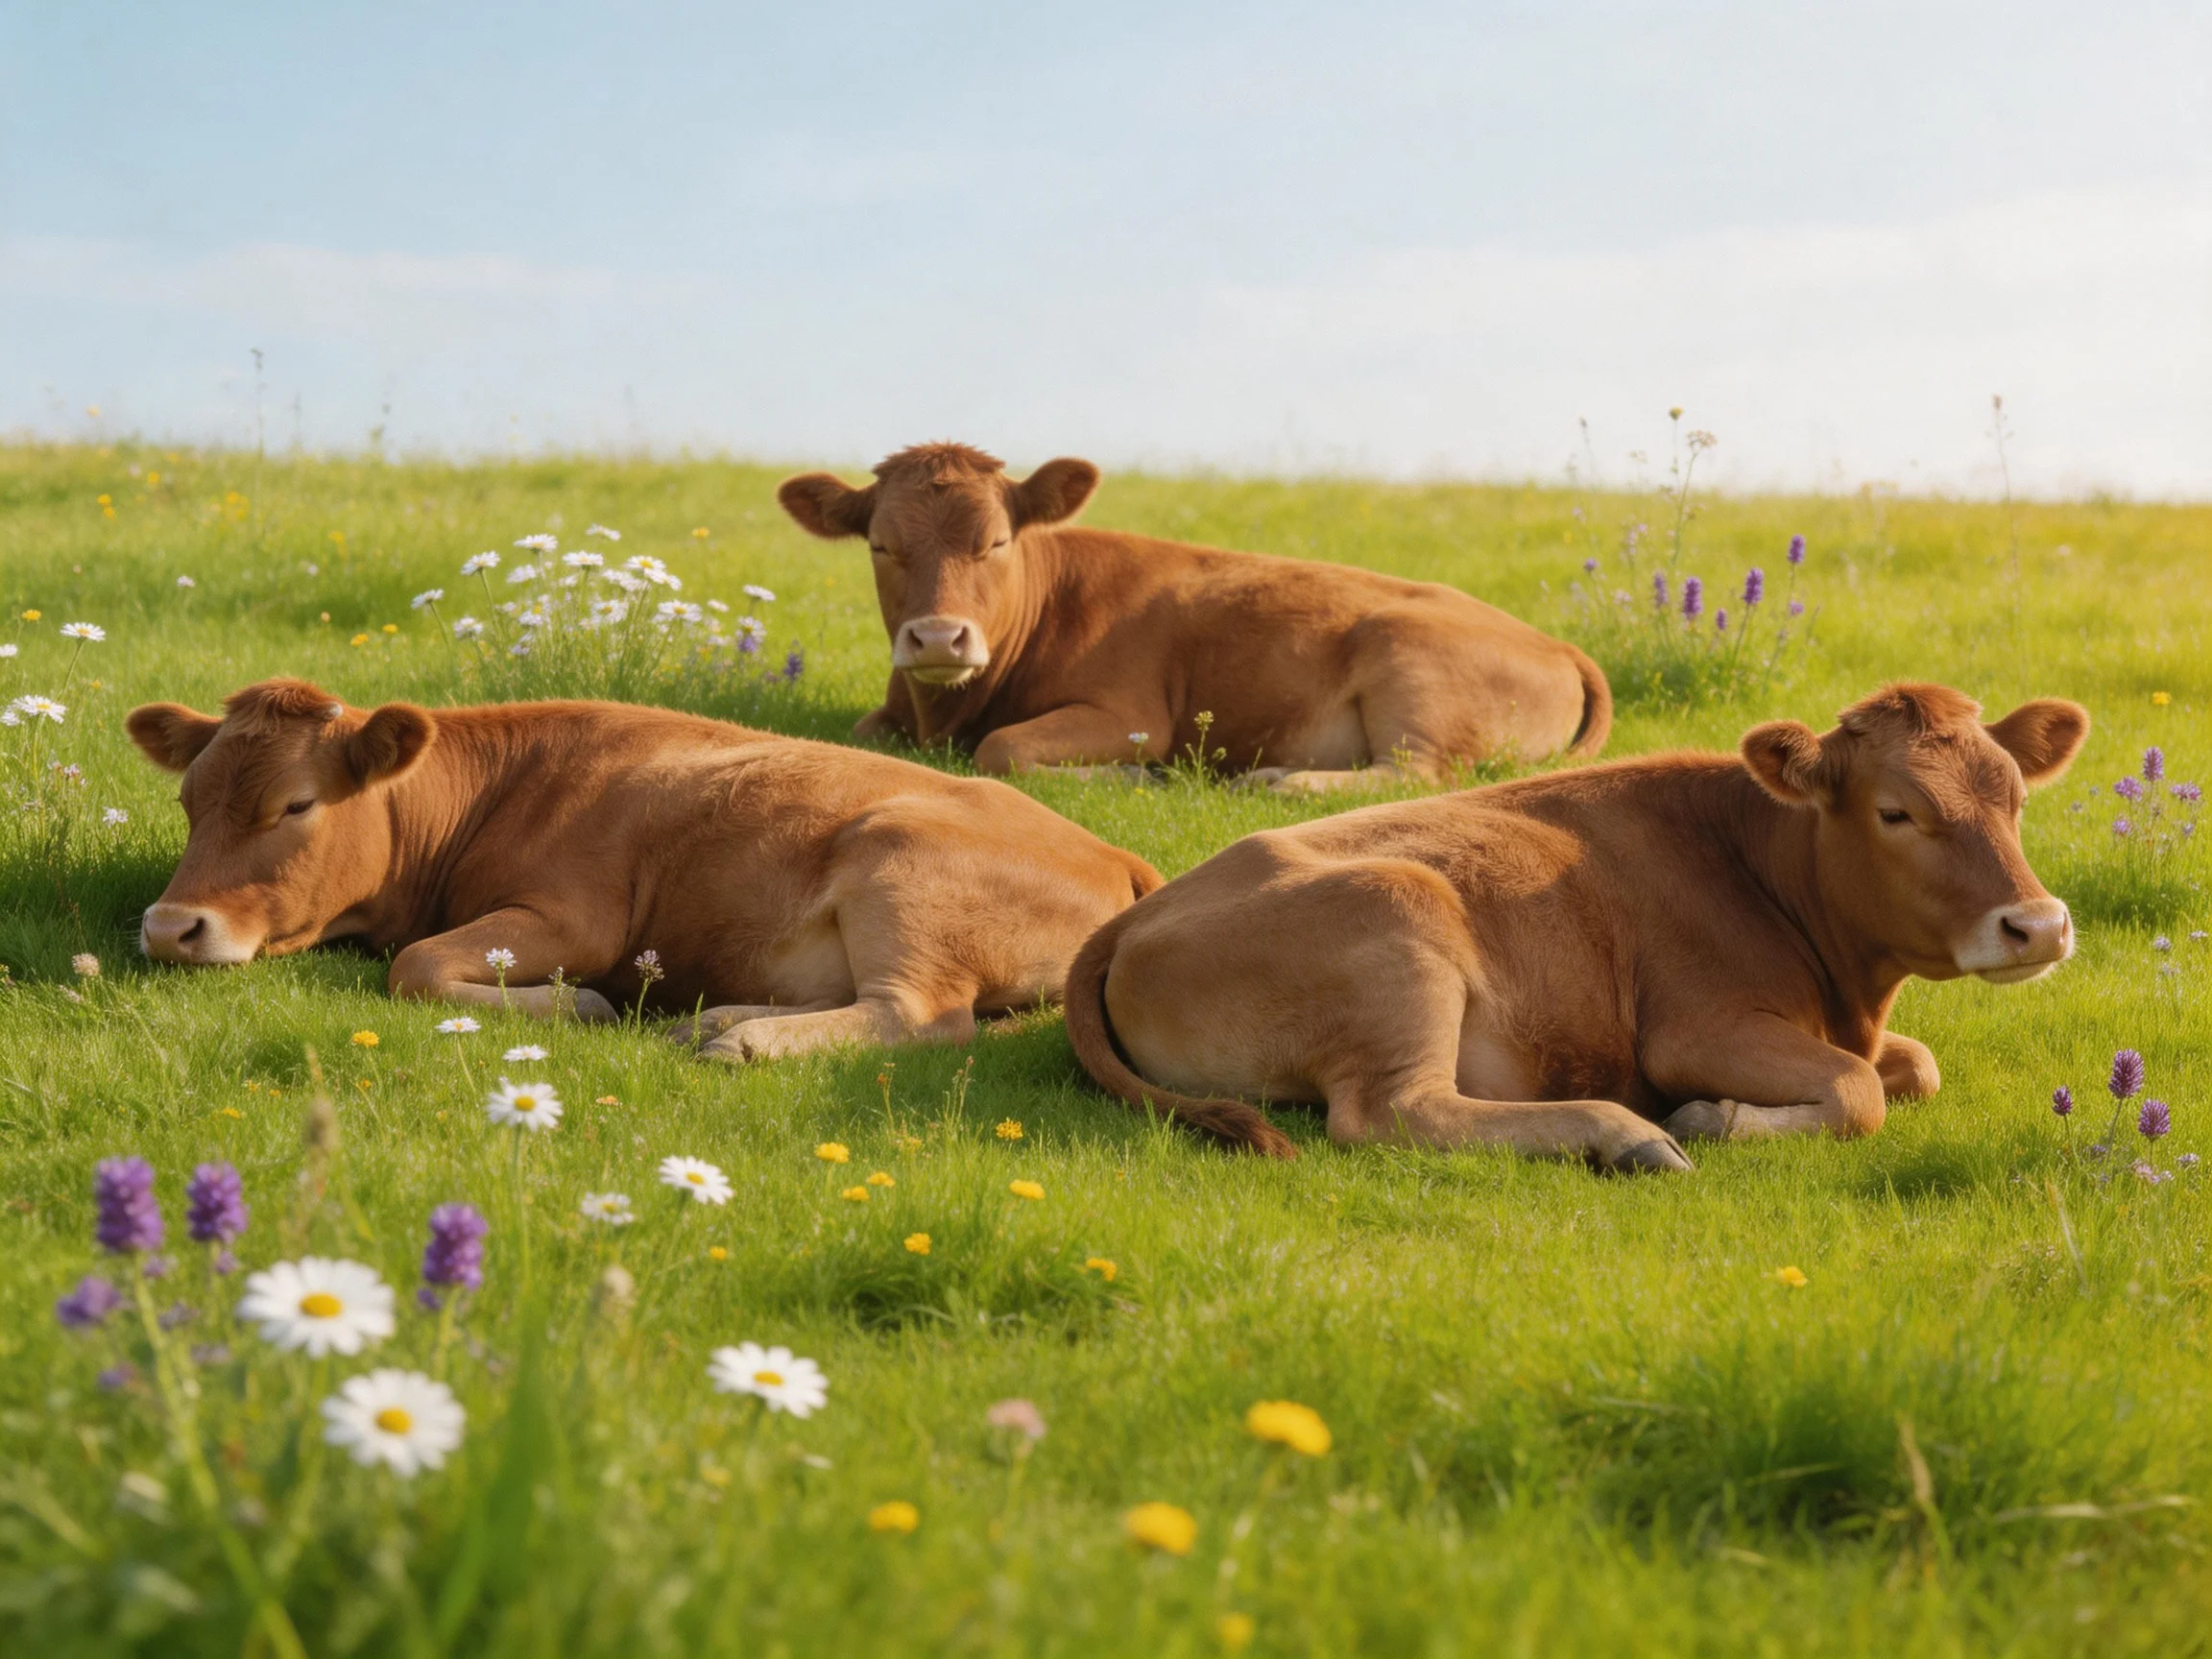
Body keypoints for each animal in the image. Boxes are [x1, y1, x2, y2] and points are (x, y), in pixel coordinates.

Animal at [126, 679, 1161, 1060]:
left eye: (295, 805)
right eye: (188, 800)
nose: (171, 928)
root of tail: (1114, 852)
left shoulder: (572, 920)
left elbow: (413, 965)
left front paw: (579, 1004)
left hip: (902, 868)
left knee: (921, 1016)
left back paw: (743, 1043)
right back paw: (720, 1017)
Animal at [776, 443, 1611, 791]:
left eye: (997, 541)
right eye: (881, 545)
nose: (938, 638)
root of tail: (1558, 644)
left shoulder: (1132, 715)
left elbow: (1003, 748)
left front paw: (1131, 777)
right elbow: (858, 734)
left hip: (1409, 666)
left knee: (1417, 773)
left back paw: (1278, 781)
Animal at [1063, 684, 2088, 1169]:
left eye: (2013, 797)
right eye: (1895, 812)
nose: (2038, 927)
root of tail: (1138, 914)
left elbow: (1914, 1066)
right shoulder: (1696, 1028)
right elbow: (1858, 1089)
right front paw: (1710, 1117)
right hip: (1401, 922)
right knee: (1392, 1114)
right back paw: (1626, 1135)